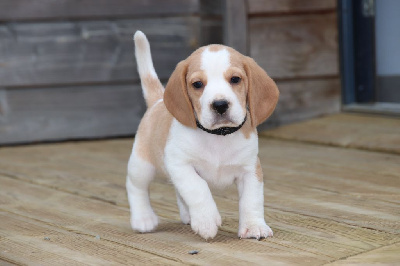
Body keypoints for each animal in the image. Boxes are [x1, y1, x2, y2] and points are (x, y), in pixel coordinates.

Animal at [127, 31, 278, 241]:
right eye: (197, 84)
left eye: (235, 79)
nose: (220, 105)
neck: (218, 136)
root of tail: (157, 101)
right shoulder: (180, 165)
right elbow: (197, 188)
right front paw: (206, 220)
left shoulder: (250, 169)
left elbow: (252, 199)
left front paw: (253, 226)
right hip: (142, 166)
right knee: (136, 187)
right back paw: (143, 218)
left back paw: (187, 215)